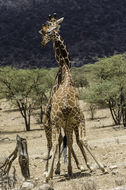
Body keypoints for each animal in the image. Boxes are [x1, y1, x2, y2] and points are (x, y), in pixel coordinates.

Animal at [39, 13, 106, 181]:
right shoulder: (71, 121)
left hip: (61, 123)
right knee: (58, 142)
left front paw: (73, 167)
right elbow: (73, 141)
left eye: (50, 29)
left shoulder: (67, 123)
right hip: (60, 123)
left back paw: (56, 171)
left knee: (61, 141)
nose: (43, 42)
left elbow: (68, 141)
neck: (65, 71)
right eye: (44, 31)